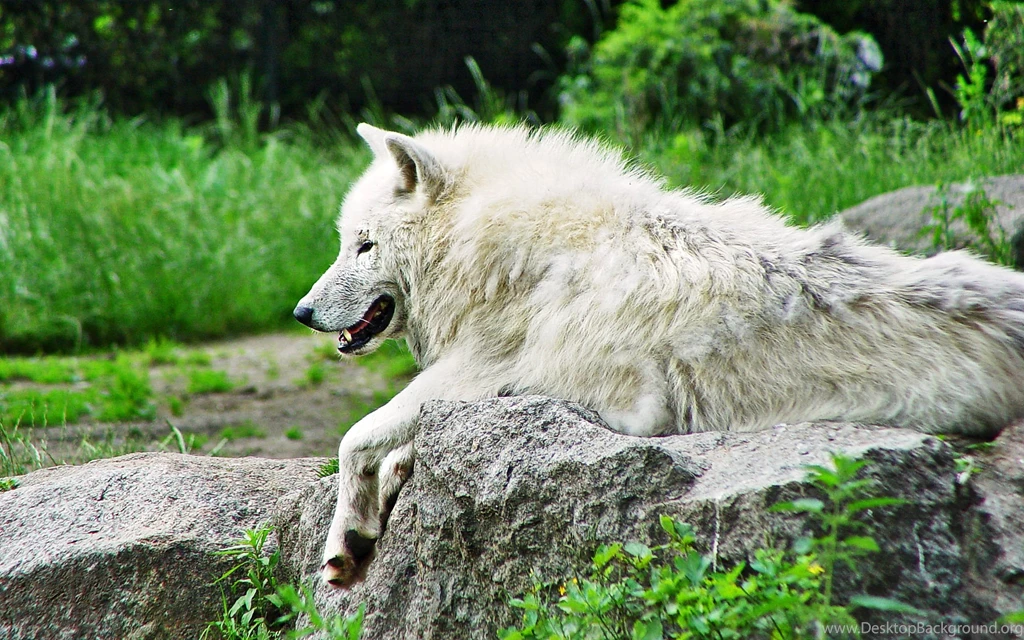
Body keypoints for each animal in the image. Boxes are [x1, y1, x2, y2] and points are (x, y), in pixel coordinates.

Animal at [294, 123, 1024, 587]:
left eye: (363, 245)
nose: (301, 313)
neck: (513, 254)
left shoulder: (580, 394)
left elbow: (358, 437)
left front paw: (345, 543)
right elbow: (400, 439)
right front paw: (377, 505)